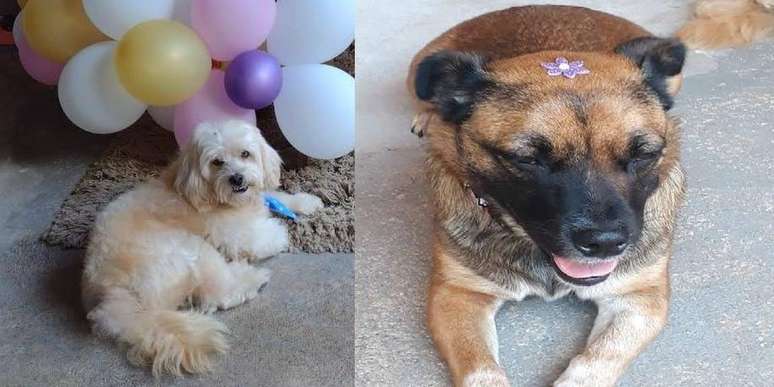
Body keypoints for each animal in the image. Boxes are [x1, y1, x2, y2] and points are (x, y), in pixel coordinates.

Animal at [79, 120, 322, 376]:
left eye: (245, 154)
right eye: (217, 162)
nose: (237, 178)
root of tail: (113, 298)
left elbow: (274, 195)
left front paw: (306, 202)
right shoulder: (239, 235)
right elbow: (271, 236)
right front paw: (287, 231)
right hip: (189, 250)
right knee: (219, 294)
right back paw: (251, 278)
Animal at [410, 6, 688, 387]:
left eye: (644, 154)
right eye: (528, 159)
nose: (604, 244)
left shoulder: (639, 298)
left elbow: (599, 360)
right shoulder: (456, 296)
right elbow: (481, 371)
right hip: (417, 68)